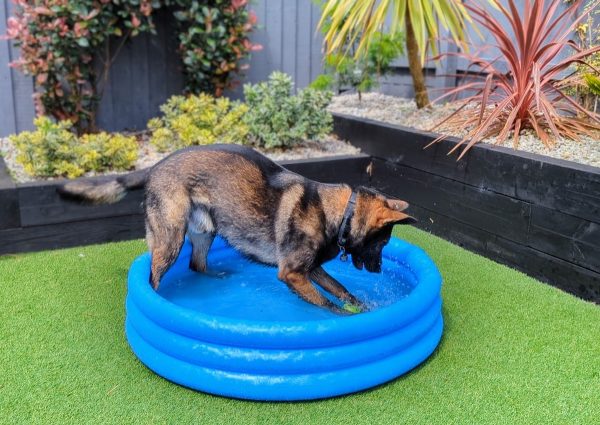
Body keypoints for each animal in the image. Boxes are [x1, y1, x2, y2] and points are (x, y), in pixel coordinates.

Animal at [61, 144, 418, 314]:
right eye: (382, 243)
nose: (379, 269)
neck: (340, 211)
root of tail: (155, 166)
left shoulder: (310, 270)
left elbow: (342, 289)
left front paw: (363, 307)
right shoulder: (292, 273)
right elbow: (327, 304)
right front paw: (346, 317)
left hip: (205, 232)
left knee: (196, 264)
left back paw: (213, 276)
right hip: (170, 239)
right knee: (154, 277)